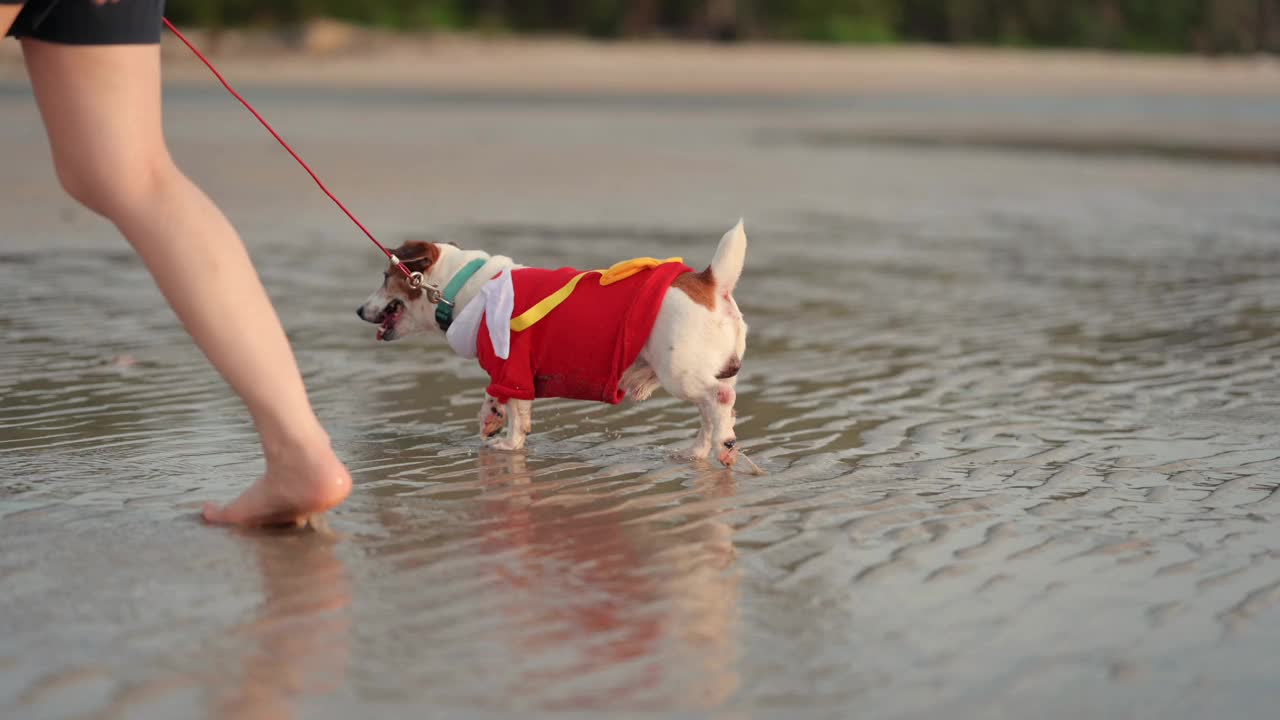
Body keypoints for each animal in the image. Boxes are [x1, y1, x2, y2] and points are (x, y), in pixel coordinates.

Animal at [353, 219, 747, 466]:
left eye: (385, 277)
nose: (358, 310)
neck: (464, 284)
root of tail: (710, 283)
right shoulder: (507, 373)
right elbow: (498, 398)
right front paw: (490, 417)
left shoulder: (513, 366)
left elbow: (516, 411)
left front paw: (509, 443)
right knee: (713, 411)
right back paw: (697, 451)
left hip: (681, 374)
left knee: (718, 400)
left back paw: (724, 445)